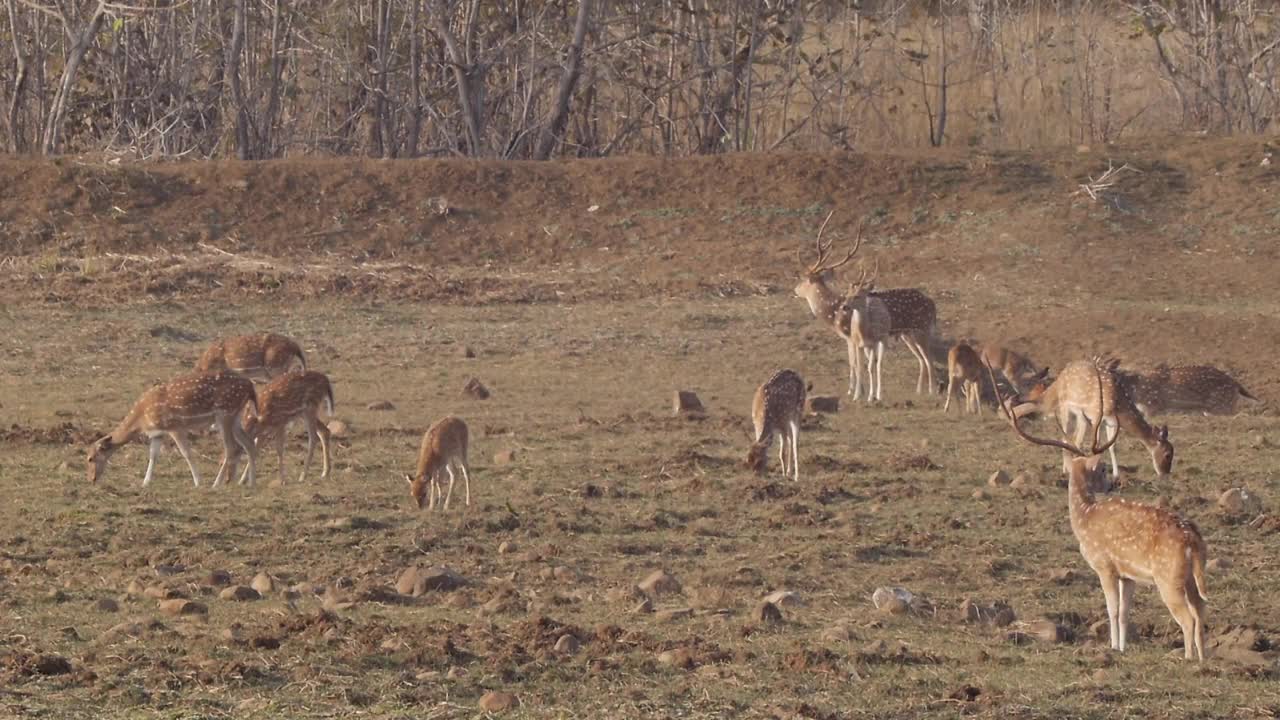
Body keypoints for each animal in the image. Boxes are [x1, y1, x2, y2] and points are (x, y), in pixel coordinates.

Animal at [87, 368, 259, 486]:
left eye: (91, 458)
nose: (92, 479)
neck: (142, 419)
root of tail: (250, 386)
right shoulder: (158, 433)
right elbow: (153, 455)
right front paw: (145, 482)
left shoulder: (175, 427)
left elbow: (187, 453)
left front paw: (198, 482)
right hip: (236, 416)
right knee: (249, 443)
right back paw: (251, 483)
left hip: (225, 413)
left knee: (231, 447)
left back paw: (216, 484)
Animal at [788, 210, 942, 399]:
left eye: (803, 279)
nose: (795, 289)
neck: (833, 313)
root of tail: (932, 304)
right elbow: (861, 362)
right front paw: (860, 391)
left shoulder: (849, 336)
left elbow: (854, 363)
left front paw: (854, 391)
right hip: (908, 334)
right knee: (922, 358)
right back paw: (920, 391)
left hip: (922, 328)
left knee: (929, 357)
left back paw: (932, 391)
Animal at [1003, 356, 1172, 479]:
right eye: (1167, 453)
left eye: (1172, 450)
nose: (1165, 473)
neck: (1117, 402)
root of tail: (1060, 376)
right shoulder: (1096, 416)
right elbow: (1098, 446)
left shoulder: (1111, 422)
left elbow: (1112, 447)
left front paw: (1116, 474)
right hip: (1065, 408)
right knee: (1065, 436)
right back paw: (1065, 470)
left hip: (1079, 416)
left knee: (1072, 438)